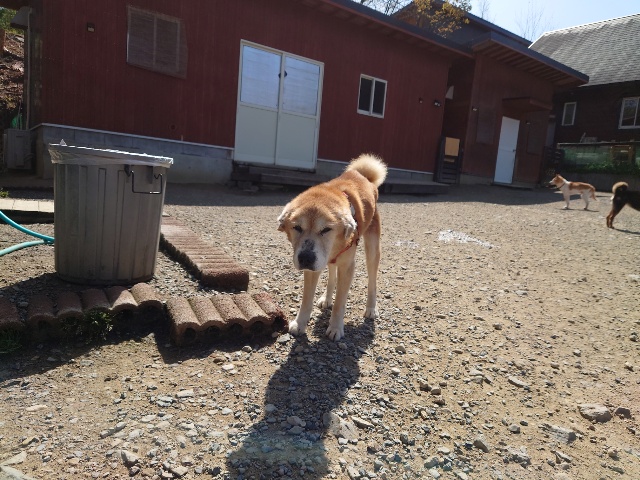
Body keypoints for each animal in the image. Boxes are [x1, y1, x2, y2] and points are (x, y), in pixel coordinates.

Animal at [277, 153, 387, 341]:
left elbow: (340, 303)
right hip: (326, 260)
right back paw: (326, 298)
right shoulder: (313, 267)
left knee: (372, 281)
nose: (305, 258)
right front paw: (300, 324)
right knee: (331, 275)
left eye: (326, 229)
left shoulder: (347, 266)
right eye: (297, 227)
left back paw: (371, 308)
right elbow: (306, 300)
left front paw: (335, 328)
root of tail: (361, 175)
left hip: (372, 250)